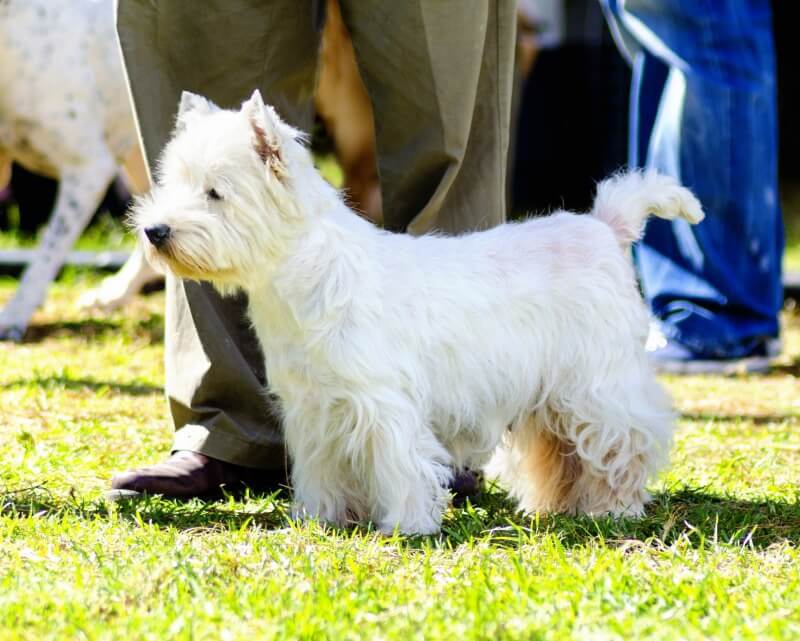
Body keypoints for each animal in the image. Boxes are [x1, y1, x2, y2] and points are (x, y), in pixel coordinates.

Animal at [138, 87, 708, 532]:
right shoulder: (312, 408)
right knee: (559, 452)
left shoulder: (381, 402)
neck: (301, 278)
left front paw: (406, 525)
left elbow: (398, 466)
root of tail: (605, 227)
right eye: (173, 183)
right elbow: (321, 469)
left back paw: (615, 509)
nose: (154, 231)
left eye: (216, 193)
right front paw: (319, 517)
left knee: (623, 441)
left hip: (595, 384)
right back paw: (555, 507)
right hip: (549, 396)